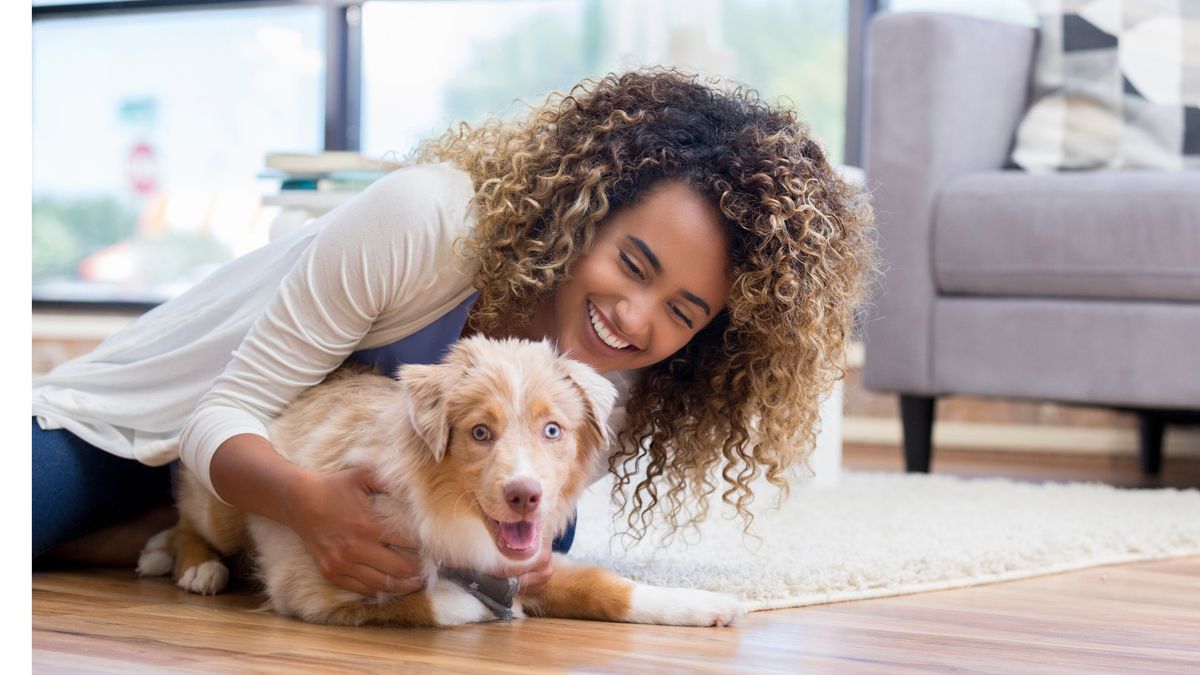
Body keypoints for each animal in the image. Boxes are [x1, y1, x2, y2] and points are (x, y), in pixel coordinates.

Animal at [138, 333, 739, 624]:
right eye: (480, 432)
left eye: (552, 430)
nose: (526, 495)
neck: (449, 512)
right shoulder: (311, 587)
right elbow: (435, 601)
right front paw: (488, 605)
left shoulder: (531, 562)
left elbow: (607, 587)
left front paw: (708, 604)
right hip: (223, 501)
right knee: (189, 517)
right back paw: (188, 564)